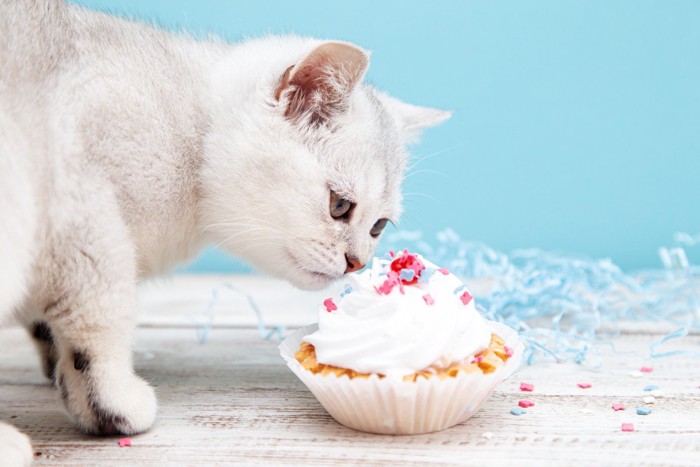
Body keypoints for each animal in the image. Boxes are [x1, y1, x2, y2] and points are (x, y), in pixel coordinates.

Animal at [0, 0, 448, 460]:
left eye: (379, 226)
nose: (356, 263)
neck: (191, 129)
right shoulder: (82, 205)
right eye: (340, 206)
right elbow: (102, 315)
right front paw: (112, 402)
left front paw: (56, 369)